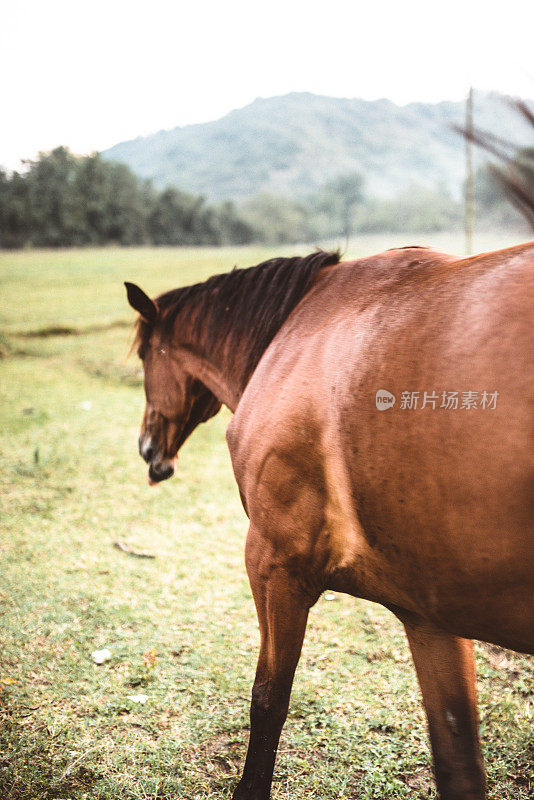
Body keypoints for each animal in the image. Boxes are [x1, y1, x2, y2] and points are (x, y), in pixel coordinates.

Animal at [126, 244, 534, 800]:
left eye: (145, 357)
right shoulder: (431, 614)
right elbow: (458, 757)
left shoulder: (273, 565)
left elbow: (268, 699)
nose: (147, 449)